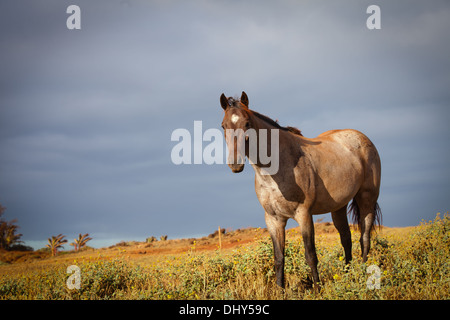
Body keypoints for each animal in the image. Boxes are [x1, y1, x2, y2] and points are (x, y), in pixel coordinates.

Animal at [220, 90, 382, 288]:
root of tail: (362, 138)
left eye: (247, 123)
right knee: (346, 239)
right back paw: (347, 276)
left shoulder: (304, 215)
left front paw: (318, 289)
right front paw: (280, 290)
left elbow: (310, 255)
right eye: (223, 126)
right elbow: (279, 258)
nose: (235, 164)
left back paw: (363, 275)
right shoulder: (274, 220)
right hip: (339, 207)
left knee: (364, 238)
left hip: (366, 199)